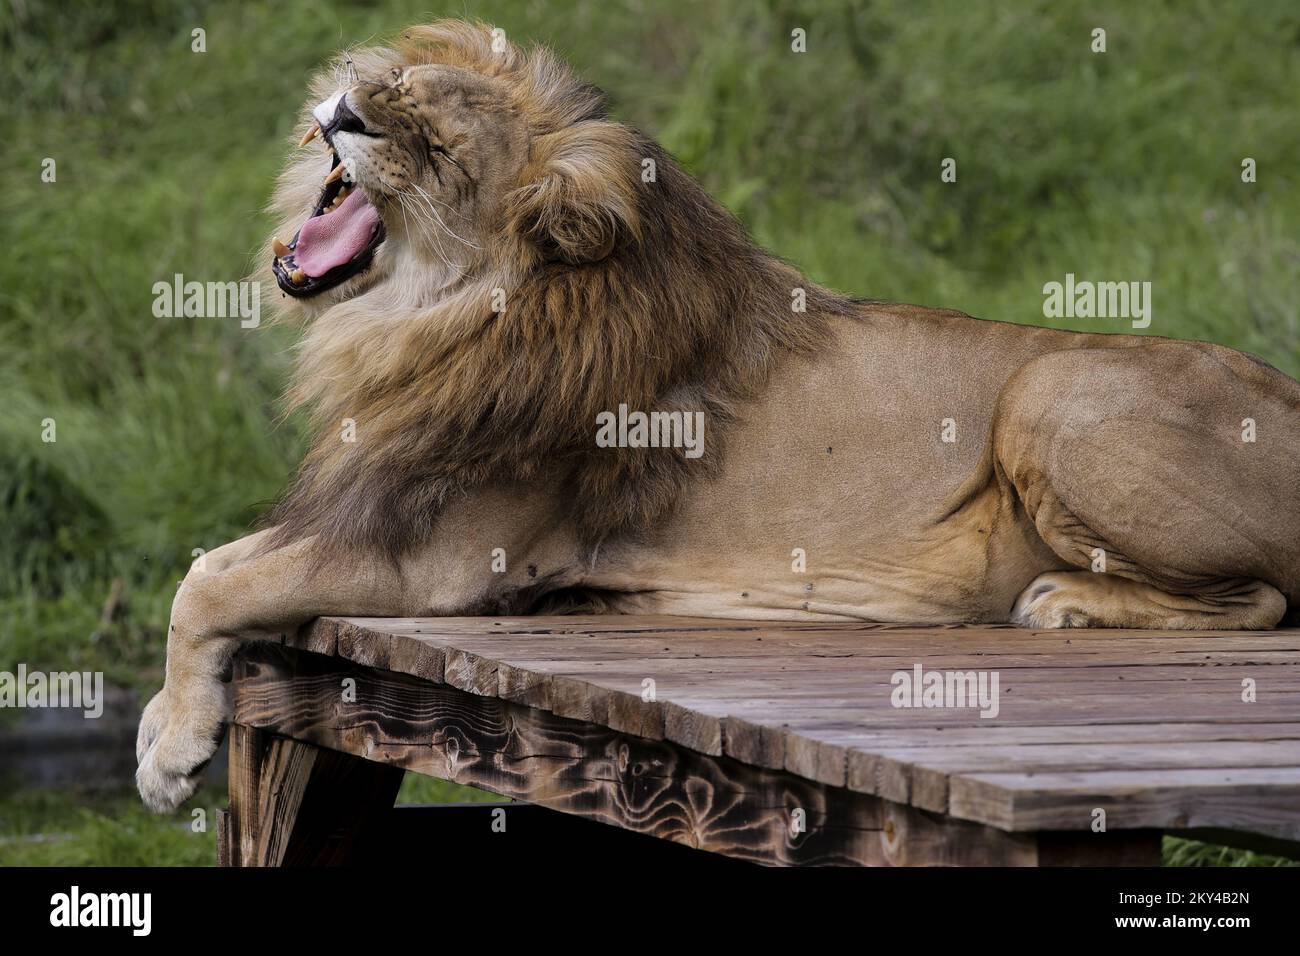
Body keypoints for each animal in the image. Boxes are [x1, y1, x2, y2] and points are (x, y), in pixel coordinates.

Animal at [134, 18, 1300, 811]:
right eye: (398, 85)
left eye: (441, 150)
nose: (347, 112)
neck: (421, 321)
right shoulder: (370, 502)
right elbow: (216, 562)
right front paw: (159, 721)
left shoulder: (440, 562)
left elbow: (210, 585)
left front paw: (173, 751)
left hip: (1046, 395)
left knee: (1264, 600)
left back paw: (1064, 603)